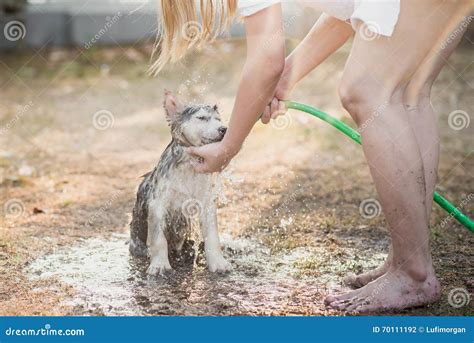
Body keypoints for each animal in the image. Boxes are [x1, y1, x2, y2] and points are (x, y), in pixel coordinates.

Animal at [131, 91, 232, 276]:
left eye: (219, 119)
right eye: (201, 118)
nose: (224, 129)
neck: (188, 167)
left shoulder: (206, 204)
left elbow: (212, 237)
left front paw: (218, 262)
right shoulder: (157, 205)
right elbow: (158, 239)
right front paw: (159, 265)